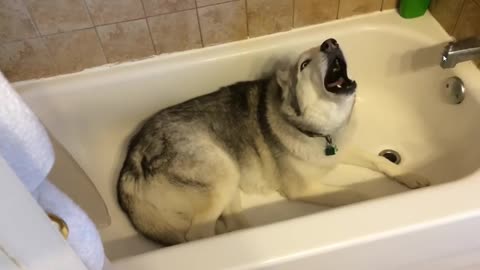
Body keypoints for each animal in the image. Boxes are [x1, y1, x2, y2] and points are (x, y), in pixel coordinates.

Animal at [116, 39, 428, 245]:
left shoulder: (343, 148)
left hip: (230, 183)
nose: (330, 42)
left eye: (324, 46)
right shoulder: (303, 189)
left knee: (231, 223)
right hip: (222, 173)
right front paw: (374, 200)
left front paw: (410, 176)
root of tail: (131, 161)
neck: (319, 131)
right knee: (197, 234)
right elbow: (355, 194)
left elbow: (380, 161)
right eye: (304, 64)